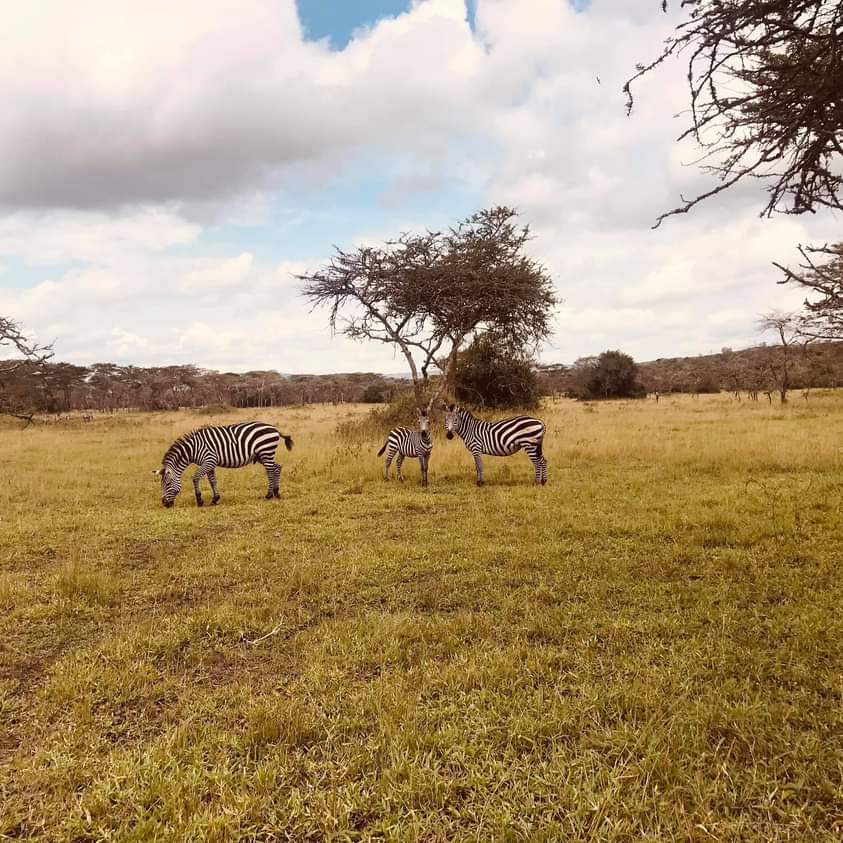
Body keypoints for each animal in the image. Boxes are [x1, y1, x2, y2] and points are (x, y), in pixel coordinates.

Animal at [154, 422, 293, 507]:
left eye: (167, 484)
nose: (164, 504)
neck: (192, 449)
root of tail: (275, 428)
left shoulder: (209, 460)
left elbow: (195, 477)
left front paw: (200, 500)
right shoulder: (210, 463)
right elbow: (212, 481)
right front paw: (215, 499)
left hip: (266, 451)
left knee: (271, 471)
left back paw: (269, 495)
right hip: (262, 455)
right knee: (277, 468)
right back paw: (276, 492)